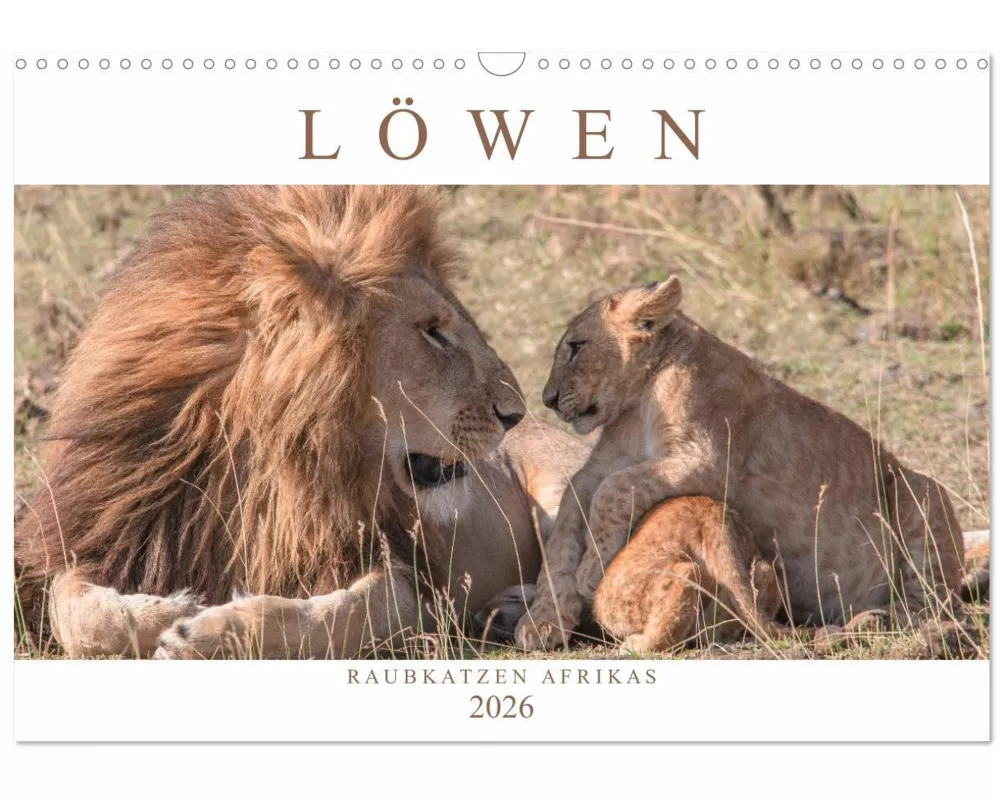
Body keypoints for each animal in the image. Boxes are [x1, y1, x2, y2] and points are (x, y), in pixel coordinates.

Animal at [14, 185, 590, 659]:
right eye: (433, 331)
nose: (516, 412)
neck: (261, 462)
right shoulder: (107, 532)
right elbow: (77, 612)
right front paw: (169, 609)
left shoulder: (406, 579)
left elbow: (333, 616)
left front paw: (205, 630)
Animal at [516, 275, 965, 651]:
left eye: (576, 347)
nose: (547, 400)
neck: (639, 398)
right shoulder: (601, 466)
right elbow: (565, 527)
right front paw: (542, 622)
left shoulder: (709, 459)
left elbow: (614, 490)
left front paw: (592, 569)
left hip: (920, 490)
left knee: (934, 603)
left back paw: (890, 620)